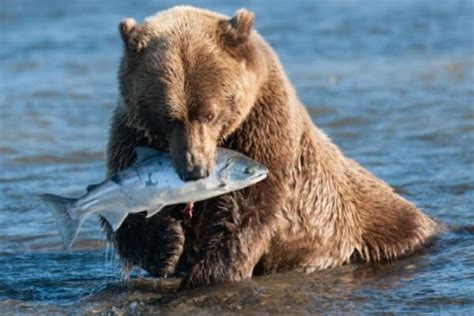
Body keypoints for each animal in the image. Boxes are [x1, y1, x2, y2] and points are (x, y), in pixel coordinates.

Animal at [103, 6, 440, 290]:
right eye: (169, 117)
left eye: (210, 113)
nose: (194, 169)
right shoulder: (132, 135)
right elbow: (125, 214)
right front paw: (168, 245)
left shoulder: (262, 128)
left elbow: (244, 211)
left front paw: (208, 275)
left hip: (370, 219)